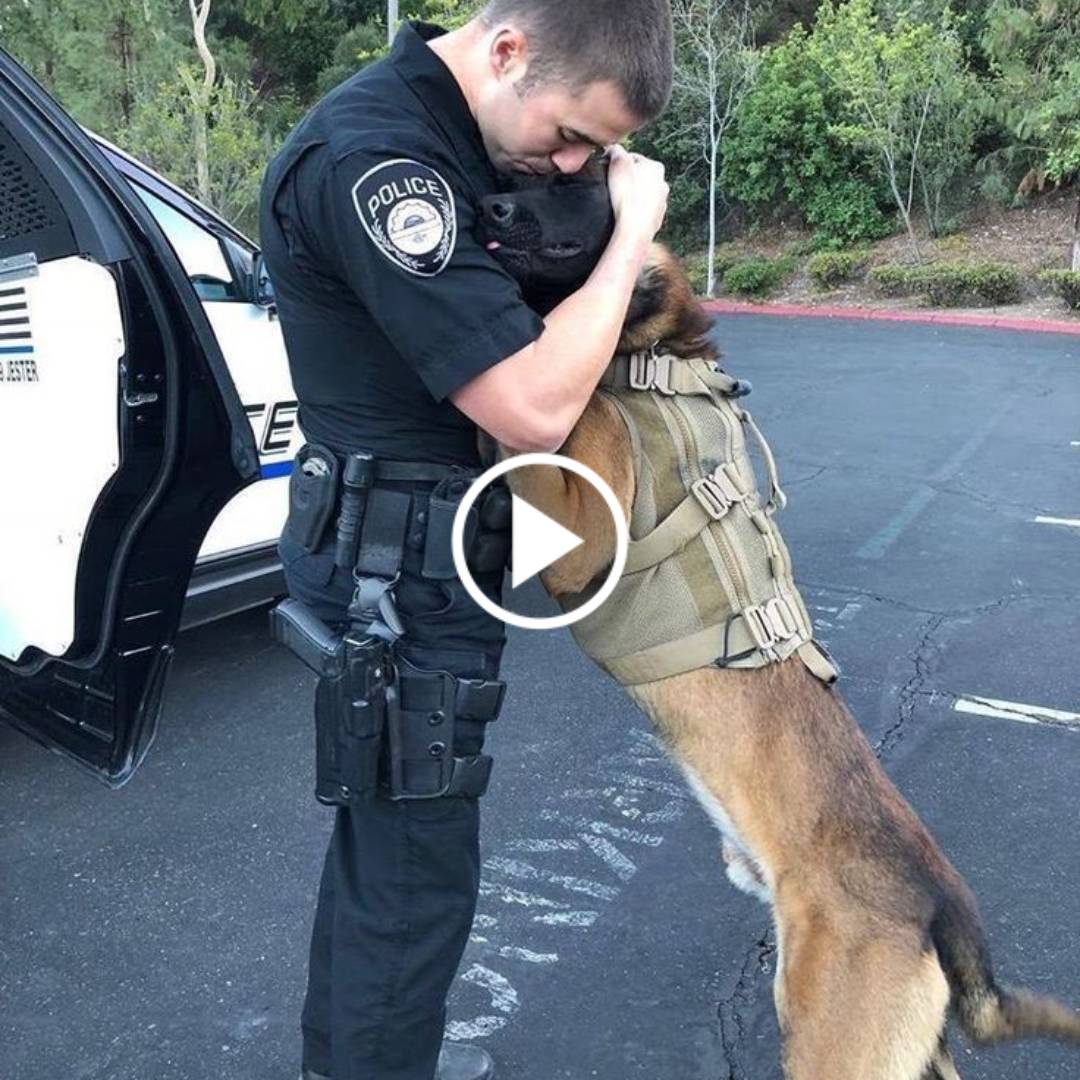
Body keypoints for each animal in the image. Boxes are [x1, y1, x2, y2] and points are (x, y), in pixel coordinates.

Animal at [477, 164, 1080, 1075]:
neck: (657, 358)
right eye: (521, 173)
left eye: (575, 184)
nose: (489, 204)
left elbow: (540, 434)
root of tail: (942, 908)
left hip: (830, 1044)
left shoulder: (584, 538)